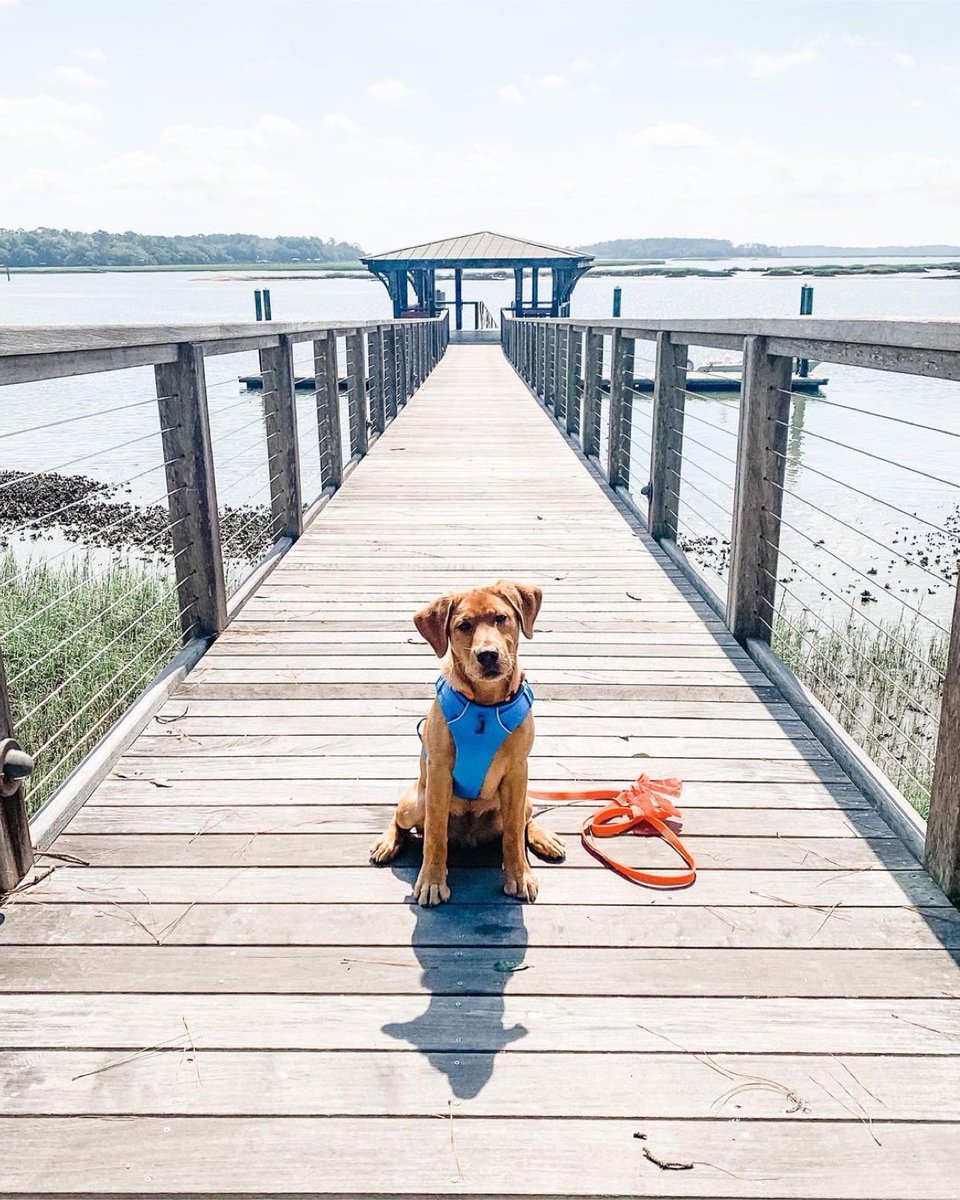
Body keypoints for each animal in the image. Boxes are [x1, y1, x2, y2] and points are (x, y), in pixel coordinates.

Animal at [367, 578, 561, 902]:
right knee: (402, 821)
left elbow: (512, 836)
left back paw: (543, 837)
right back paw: (387, 842)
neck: (485, 704)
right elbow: (434, 835)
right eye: (463, 625)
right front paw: (432, 881)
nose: (488, 655)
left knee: (525, 820)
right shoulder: (439, 774)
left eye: (501, 618)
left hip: (524, 799)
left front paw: (519, 875)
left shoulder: (517, 772)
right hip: (413, 803)